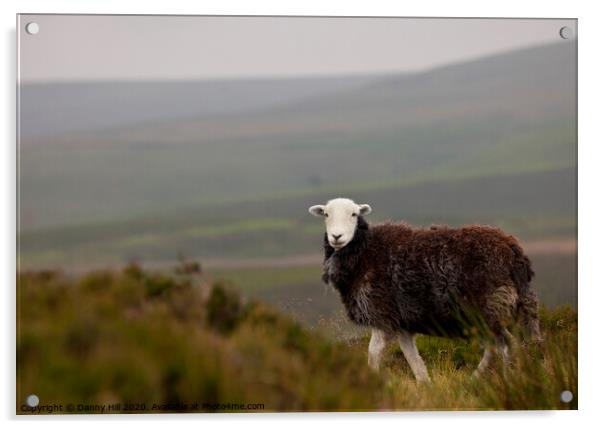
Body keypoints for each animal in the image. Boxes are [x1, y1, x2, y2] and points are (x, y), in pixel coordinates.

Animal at [310, 197, 540, 382]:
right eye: (326, 214)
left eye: (354, 214)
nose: (336, 236)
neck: (365, 252)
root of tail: (513, 249)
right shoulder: (401, 323)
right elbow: (413, 359)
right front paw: (425, 385)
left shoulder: (381, 314)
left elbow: (373, 353)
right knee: (495, 347)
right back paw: (474, 381)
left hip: (490, 306)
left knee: (506, 346)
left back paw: (507, 382)